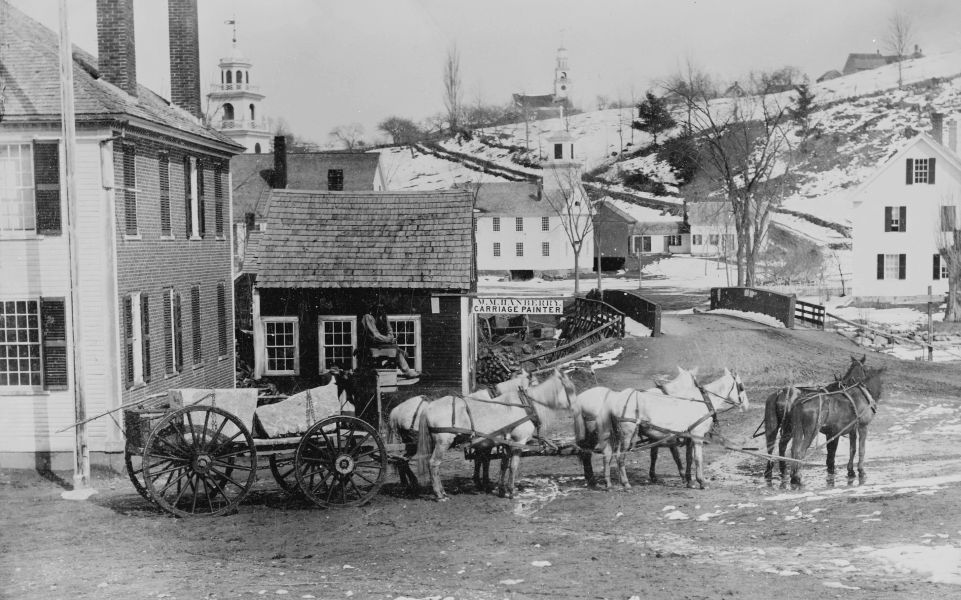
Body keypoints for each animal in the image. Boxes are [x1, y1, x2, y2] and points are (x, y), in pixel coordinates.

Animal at [414, 370, 576, 502]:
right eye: (570, 389)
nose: (576, 406)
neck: (526, 405)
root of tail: (428, 407)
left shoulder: (505, 442)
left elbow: (502, 464)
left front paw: (500, 489)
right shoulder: (518, 441)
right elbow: (513, 466)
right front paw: (511, 491)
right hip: (443, 442)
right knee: (434, 464)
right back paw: (440, 494)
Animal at [788, 360, 884, 488]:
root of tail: (800, 402)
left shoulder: (851, 429)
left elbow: (852, 449)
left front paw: (851, 471)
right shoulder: (863, 426)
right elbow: (861, 450)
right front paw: (861, 471)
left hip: (797, 429)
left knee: (794, 450)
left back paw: (793, 476)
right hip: (811, 431)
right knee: (800, 452)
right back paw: (797, 477)